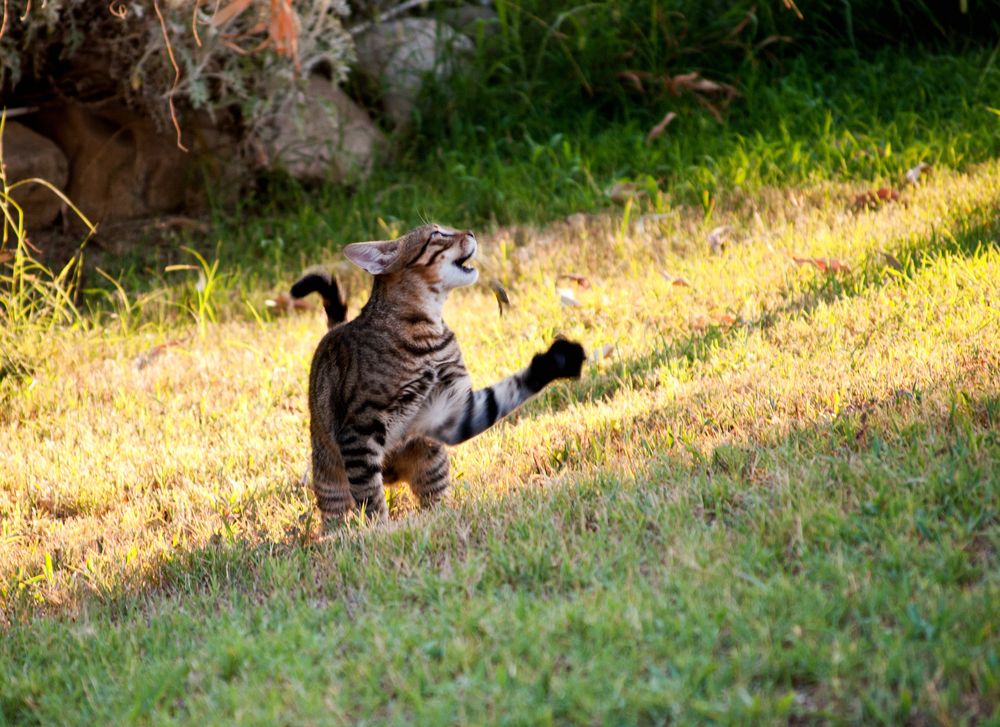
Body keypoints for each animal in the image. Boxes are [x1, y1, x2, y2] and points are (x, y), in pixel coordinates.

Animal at [292, 222, 584, 524]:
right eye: (437, 234)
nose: (471, 232)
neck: (426, 336)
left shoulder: (450, 411)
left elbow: (506, 393)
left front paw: (557, 361)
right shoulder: (358, 433)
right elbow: (370, 498)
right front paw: (381, 530)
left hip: (432, 460)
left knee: (434, 499)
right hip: (329, 476)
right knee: (337, 511)